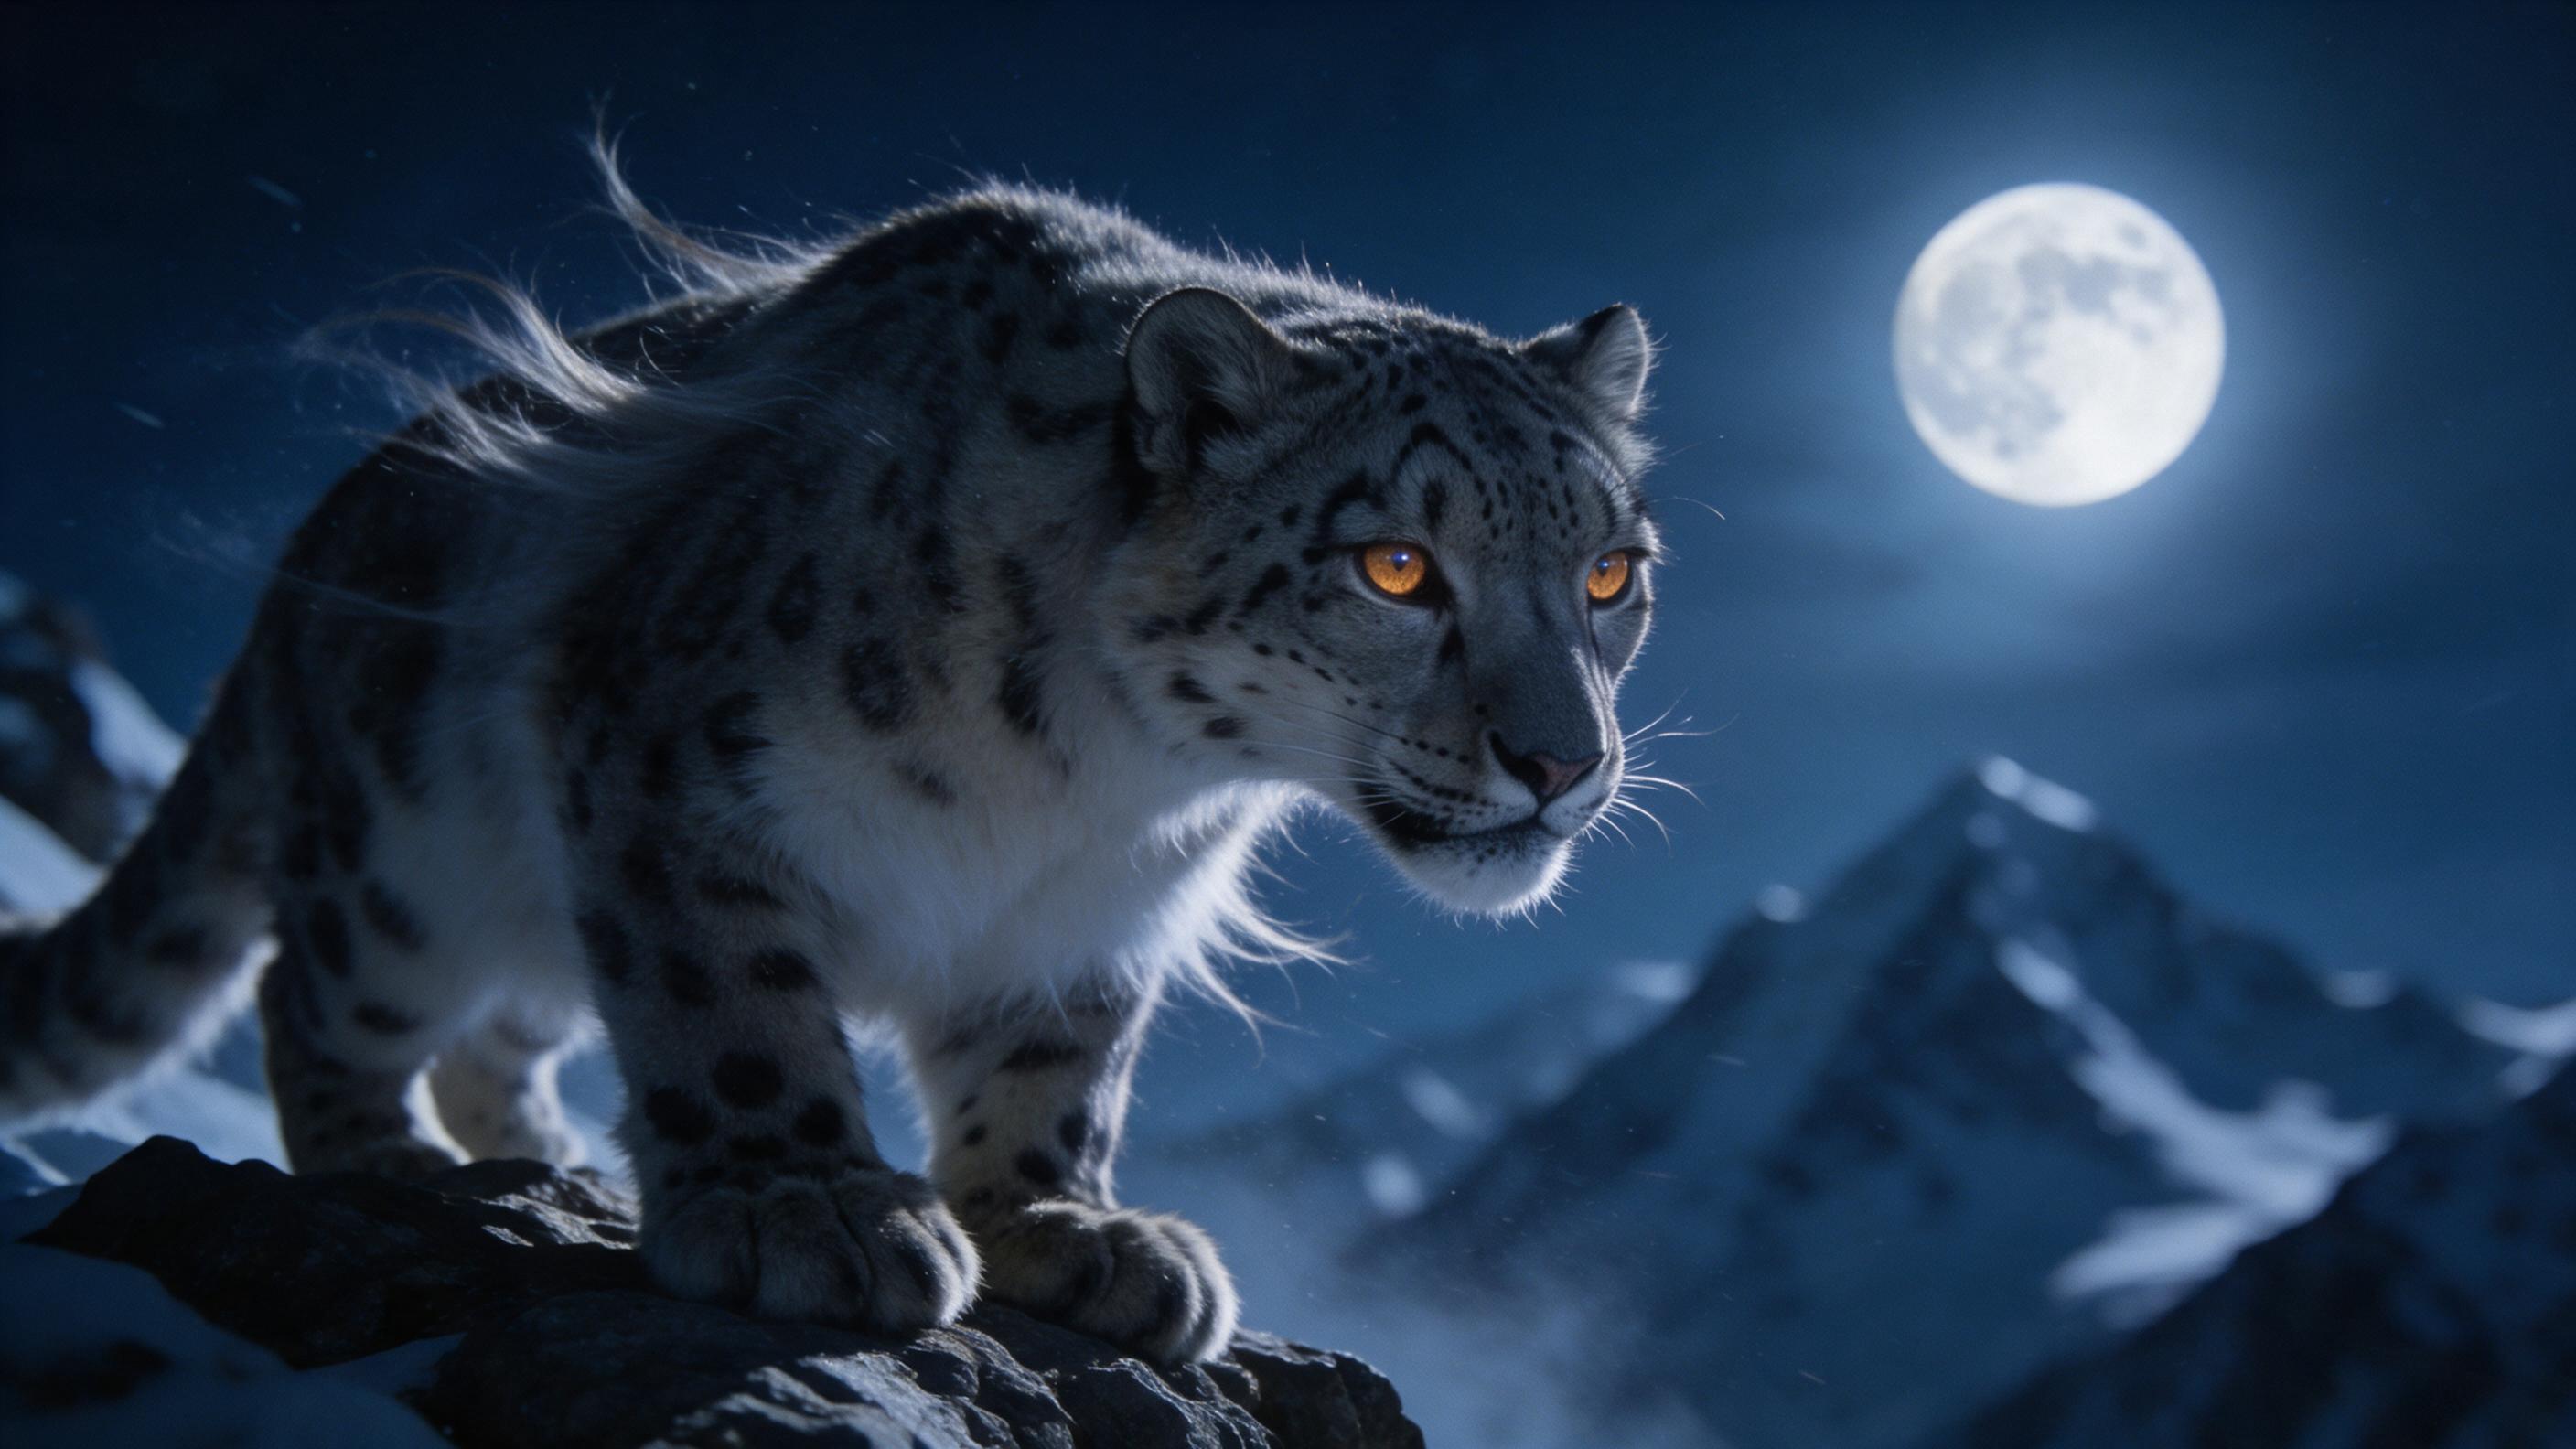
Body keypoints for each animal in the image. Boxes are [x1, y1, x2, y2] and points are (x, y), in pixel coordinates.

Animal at [0, 156, 1662, 1364]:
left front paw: (1071, 1228)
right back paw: (383, 1161)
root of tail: (283, 591)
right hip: (400, 862)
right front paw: (803, 1205)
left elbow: (1059, 1068)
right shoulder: (675, 768)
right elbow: (728, 999)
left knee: (502, 1032)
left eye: (1609, 572)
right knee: (312, 989)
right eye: (1396, 567)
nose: (1561, 764)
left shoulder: (1093, 920)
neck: (1104, 776)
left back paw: (548, 1161)